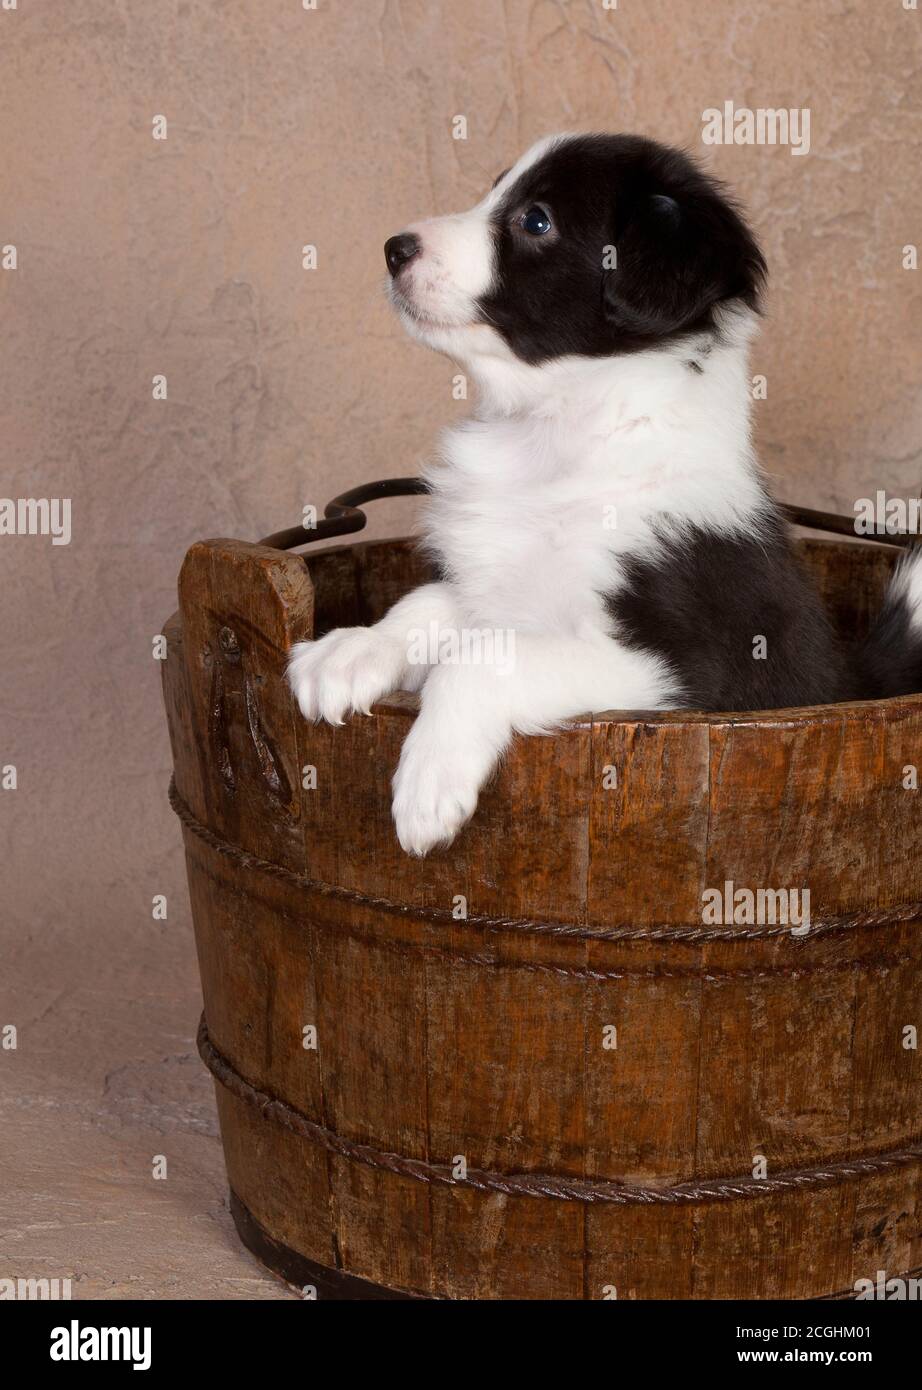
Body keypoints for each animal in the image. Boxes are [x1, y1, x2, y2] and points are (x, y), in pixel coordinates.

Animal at [289, 138, 922, 856]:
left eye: (536, 221)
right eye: (495, 189)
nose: (395, 248)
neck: (558, 439)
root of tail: (855, 679)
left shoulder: (689, 674)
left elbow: (483, 661)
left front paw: (428, 780)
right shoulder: (498, 587)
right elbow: (427, 603)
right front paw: (350, 650)